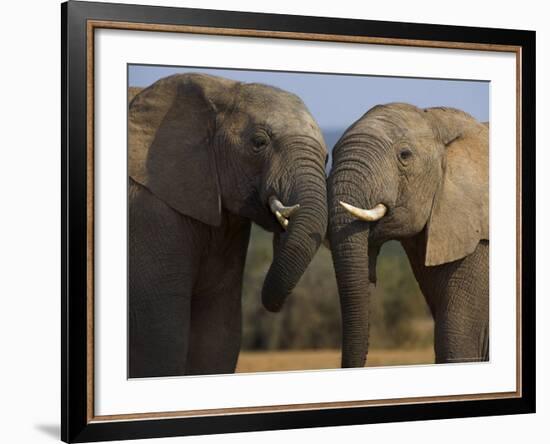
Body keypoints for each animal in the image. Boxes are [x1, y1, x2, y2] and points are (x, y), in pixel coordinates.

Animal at [129, 73, 328, 378]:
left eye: (327, 156)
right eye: (259, 142)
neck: (222, 88)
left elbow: (218, 332)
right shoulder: (150, 210)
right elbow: (161, 336)